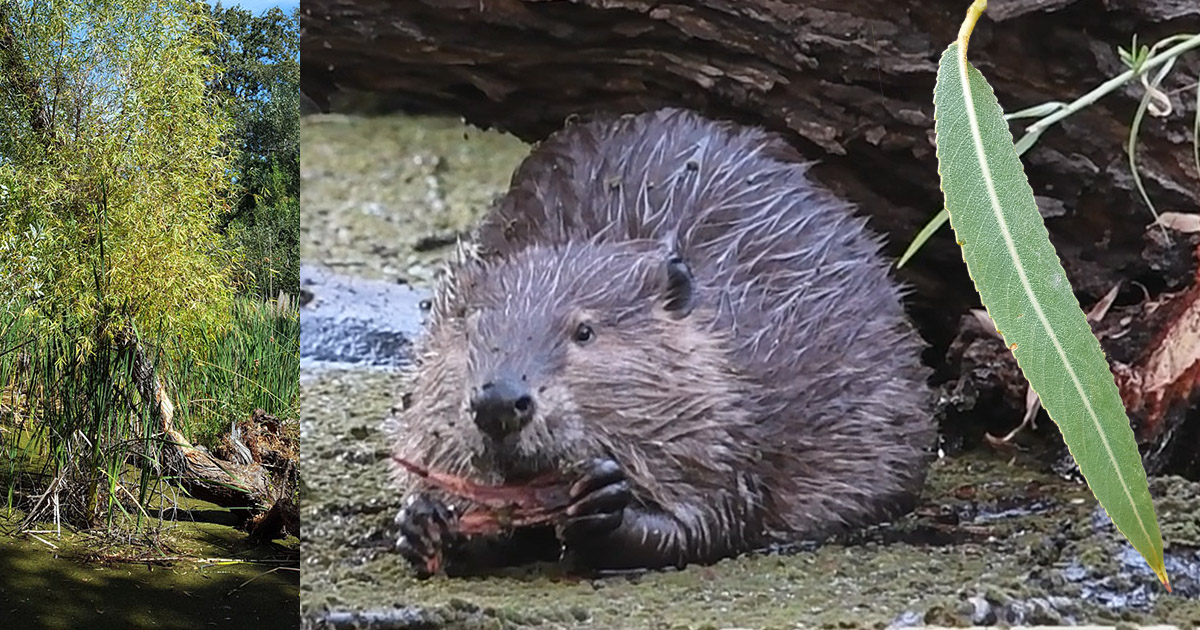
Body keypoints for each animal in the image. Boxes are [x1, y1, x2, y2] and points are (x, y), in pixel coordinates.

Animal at [388, 109, 931, 573]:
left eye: (584, 331)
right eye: (471, 328)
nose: (499, 402)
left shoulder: (732, 420)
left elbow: (713, 517)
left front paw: (604, 503)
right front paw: (425, 518)